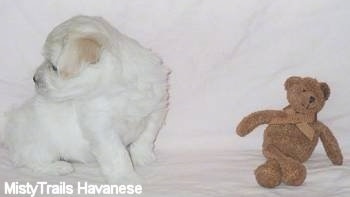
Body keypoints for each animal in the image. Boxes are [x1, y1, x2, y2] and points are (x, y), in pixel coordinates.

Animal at [1, 15, 170, 183]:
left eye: (54, 67)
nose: (34, 78)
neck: (121, 89)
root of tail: (9, 123)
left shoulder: (157, 107)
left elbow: (147, 135)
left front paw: (142, 156)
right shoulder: (102, 128)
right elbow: (117, 154)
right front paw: (125, 178)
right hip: (41, 146)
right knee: (29, 160)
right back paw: (58, 167)